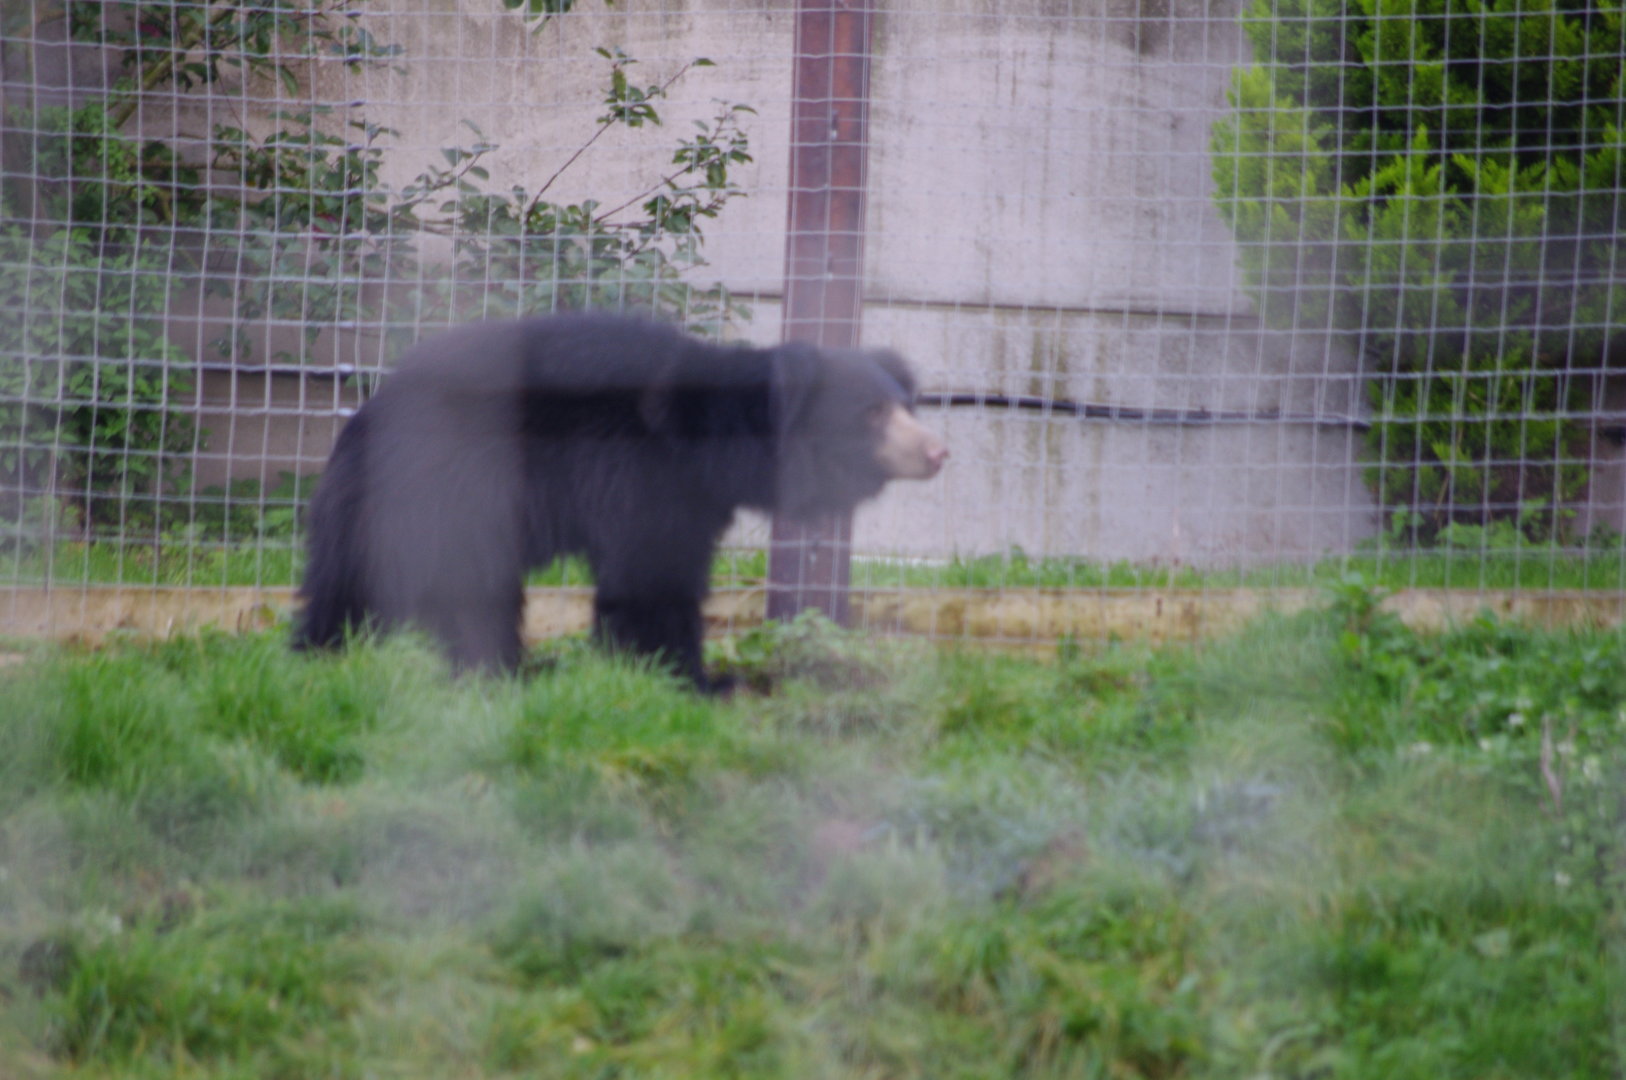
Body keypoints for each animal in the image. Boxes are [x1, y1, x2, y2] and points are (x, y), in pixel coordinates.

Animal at [292, 313, 947, 688]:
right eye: (871, 413)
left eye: (904, 406)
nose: (938, 451)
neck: (714, 439)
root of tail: (363, 419)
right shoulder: (643, 476)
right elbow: (651, 579)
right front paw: (693, 680)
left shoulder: (695, 493)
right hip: (446, 495)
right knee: (457, 593)